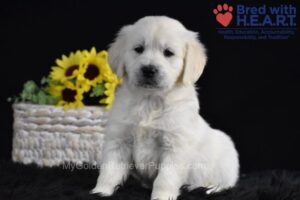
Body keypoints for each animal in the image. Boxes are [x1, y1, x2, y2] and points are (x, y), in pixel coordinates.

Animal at [91, 16, 239, 200]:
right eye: (138, 49)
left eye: (168, 53)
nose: (148, 70)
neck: (150, 100)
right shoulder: (119, 139)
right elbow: (110, 170)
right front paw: (101, 191)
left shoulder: (175, 146)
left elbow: (165, 178)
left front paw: (161, 196)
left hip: (225, 163)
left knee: (226, 183)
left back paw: (209, 188)